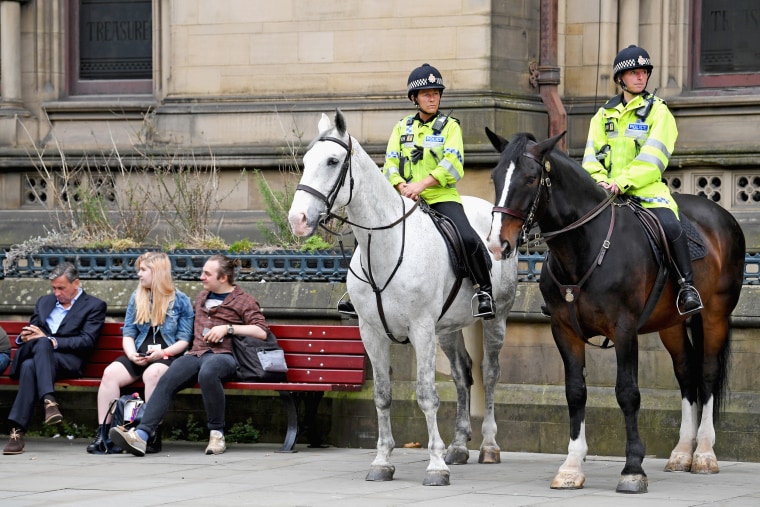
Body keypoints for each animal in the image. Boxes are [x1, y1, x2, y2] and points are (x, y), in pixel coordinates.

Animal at [288, 112, 520, 488]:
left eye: (333, 161)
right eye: (306, 162)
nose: (298, 220)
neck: (386, 245)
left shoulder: (421, 330)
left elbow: (426, 395)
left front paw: (435, 466)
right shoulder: (371, 333)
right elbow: (382, 396)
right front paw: (382, 461)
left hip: (495, 318)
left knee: (490, 373)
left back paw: (488, 445)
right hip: (448, 330)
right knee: (462, 374)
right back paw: (459, 444)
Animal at [486, 129, 744, 494]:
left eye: (530, 178)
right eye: (495, 177)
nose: (498, 244)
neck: (585, 248)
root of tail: (720, 214)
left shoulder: (624, 330)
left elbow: (627, 393)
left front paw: (633, 468)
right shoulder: (563, 330)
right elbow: (575, 392)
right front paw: (571, 466)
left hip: (715, 315)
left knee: (707, 374)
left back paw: (705, 453)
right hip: (671, 324)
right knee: (685, 373)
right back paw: (683, 452)